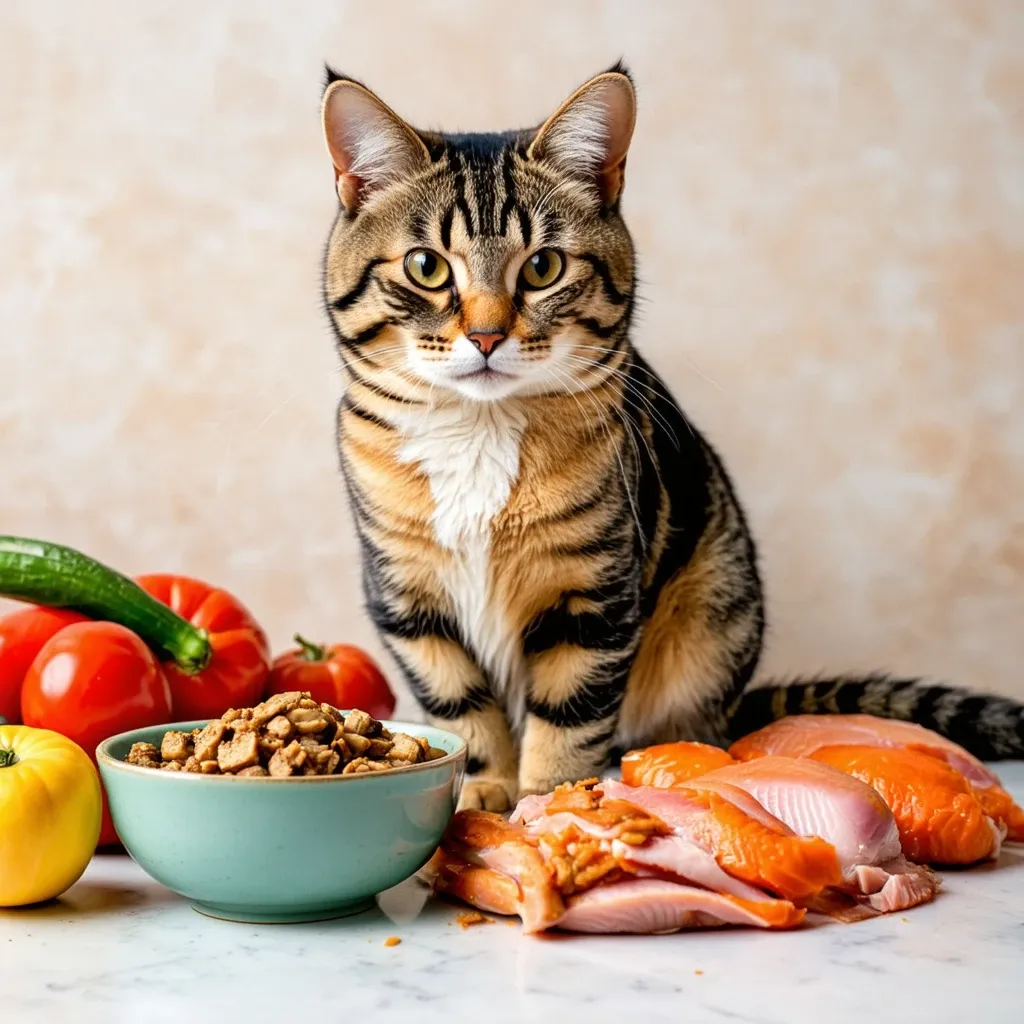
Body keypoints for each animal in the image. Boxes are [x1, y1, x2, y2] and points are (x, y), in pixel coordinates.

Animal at [319, 64, 1024, 811]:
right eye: (426, 267)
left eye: (542, 267)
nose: (486, 336)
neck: (480, 431)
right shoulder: (407, 598)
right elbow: (460, 705)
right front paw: (483, 791)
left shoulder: (594, 596)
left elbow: (569, 718)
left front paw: (546, 804)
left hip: (709, 618)